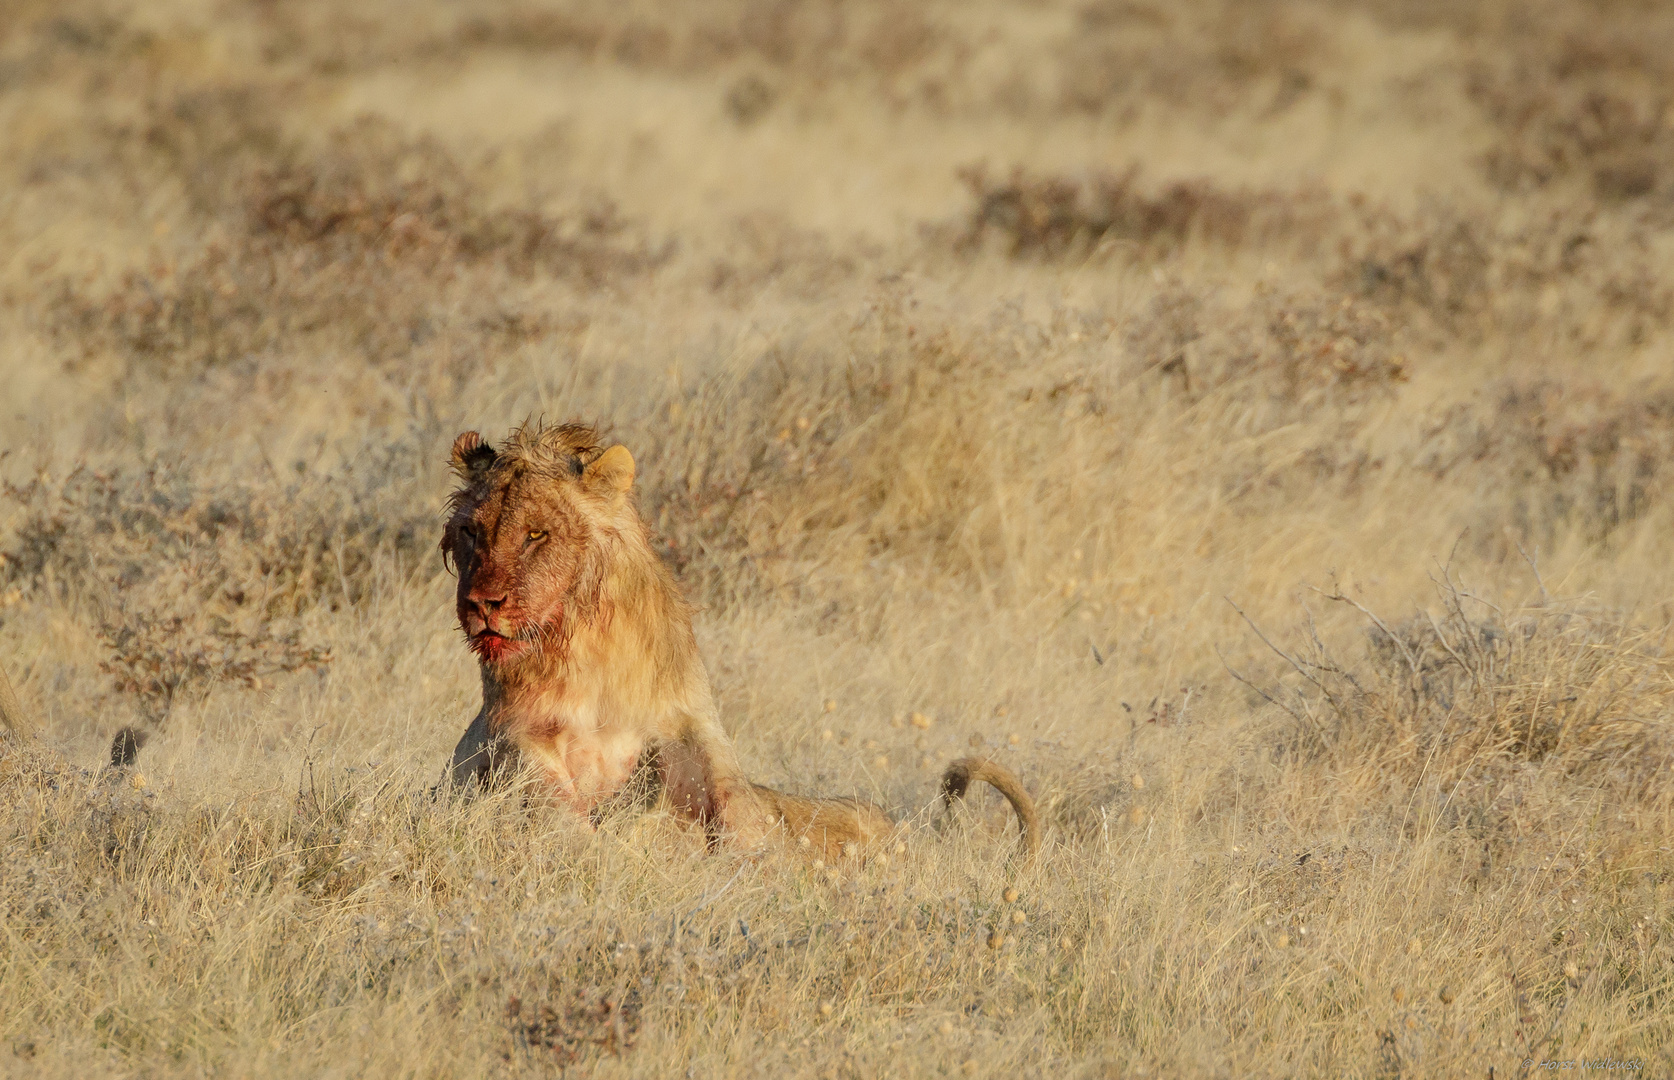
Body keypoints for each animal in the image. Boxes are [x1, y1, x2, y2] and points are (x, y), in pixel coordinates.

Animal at [435, 423, 1031, 857]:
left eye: (537, 533)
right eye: (471, 532)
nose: (481, 605)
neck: (583, 648)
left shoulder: (688, 725)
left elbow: (736, 802)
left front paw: (761, 864)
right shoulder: (510, 732)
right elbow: (551, 798)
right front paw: (592, 846)